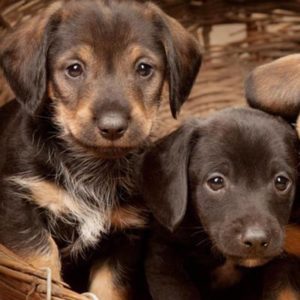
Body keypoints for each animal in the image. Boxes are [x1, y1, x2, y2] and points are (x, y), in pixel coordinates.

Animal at [0, 0, 202, 298]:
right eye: (74, 69)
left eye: (144, 68)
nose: (112, 127)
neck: (92, 165)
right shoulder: (18, 206)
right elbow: (42, 258)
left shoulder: (125, 234)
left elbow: (109, 286)